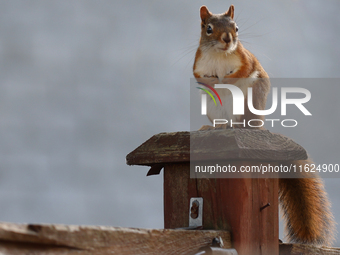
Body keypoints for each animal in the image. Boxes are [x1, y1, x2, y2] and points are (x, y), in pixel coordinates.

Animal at [193, 5, 336, 245]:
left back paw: (235, 127)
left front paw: (226, 80)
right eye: (209, 28)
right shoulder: (198, 64)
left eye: (236, 28)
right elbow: (199, 76)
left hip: (248, 102)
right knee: (221, 122)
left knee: (242, 123)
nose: (227, 39)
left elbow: (243, 70)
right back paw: (213, 127)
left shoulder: (245, 59)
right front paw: (213, 81)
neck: (220, 54)